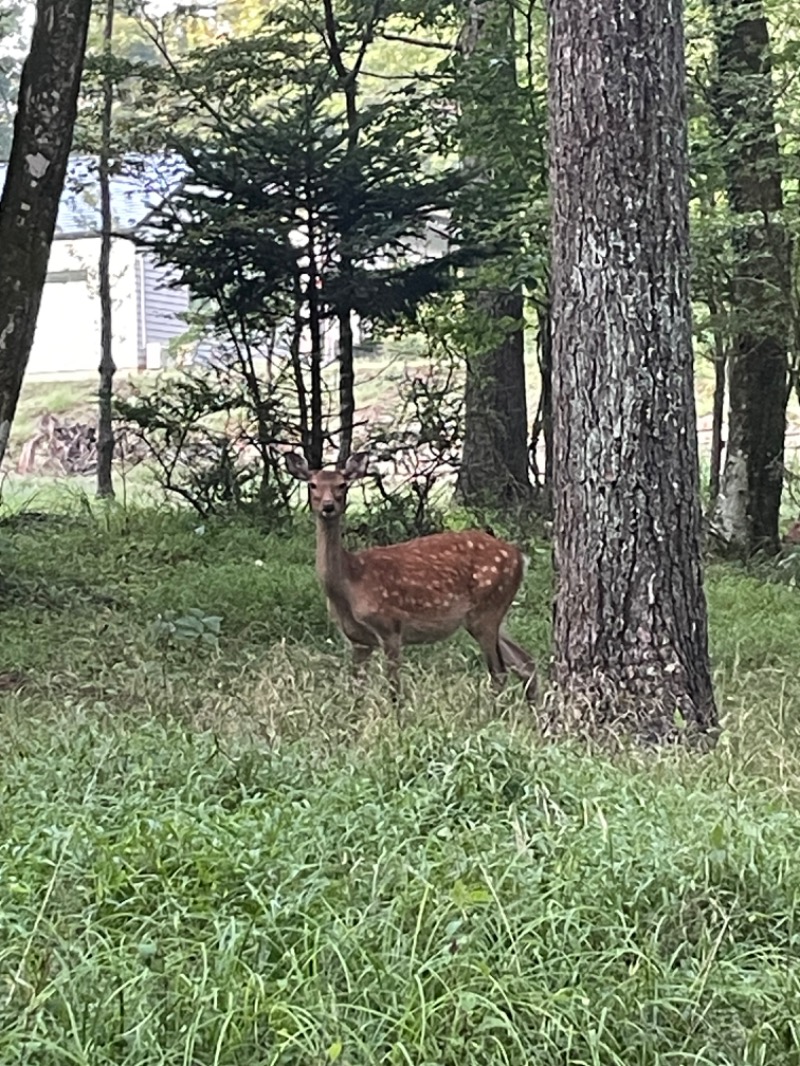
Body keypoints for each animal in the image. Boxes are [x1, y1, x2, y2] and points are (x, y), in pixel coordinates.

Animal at [285, 447, 541, 703]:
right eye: (312, 484)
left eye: (342, 484)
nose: (328, 506)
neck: (350, 583)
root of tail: (520, 557)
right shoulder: (358, 641)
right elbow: (356, 688)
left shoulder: (390, 626)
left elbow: (394, 688)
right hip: (493, 614)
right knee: (525, 662)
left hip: (486, 609)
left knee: (499, 671)